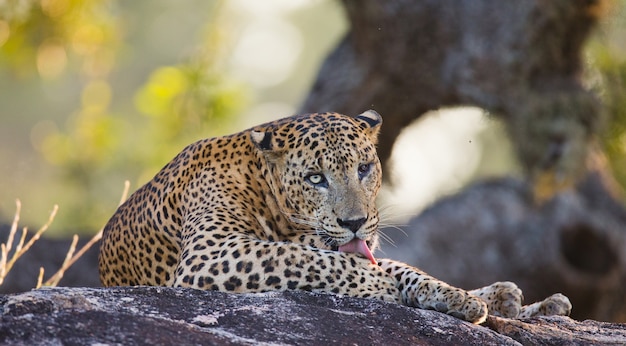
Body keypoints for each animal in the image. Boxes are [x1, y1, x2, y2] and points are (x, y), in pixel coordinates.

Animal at [98, 111, 572, 324]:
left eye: (363, 168)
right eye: (315, 178)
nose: (355, 222)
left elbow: (399, 268)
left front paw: (455, 297)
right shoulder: (211, 254)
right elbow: (307, 259)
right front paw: (381, 287)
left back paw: (518, 301)